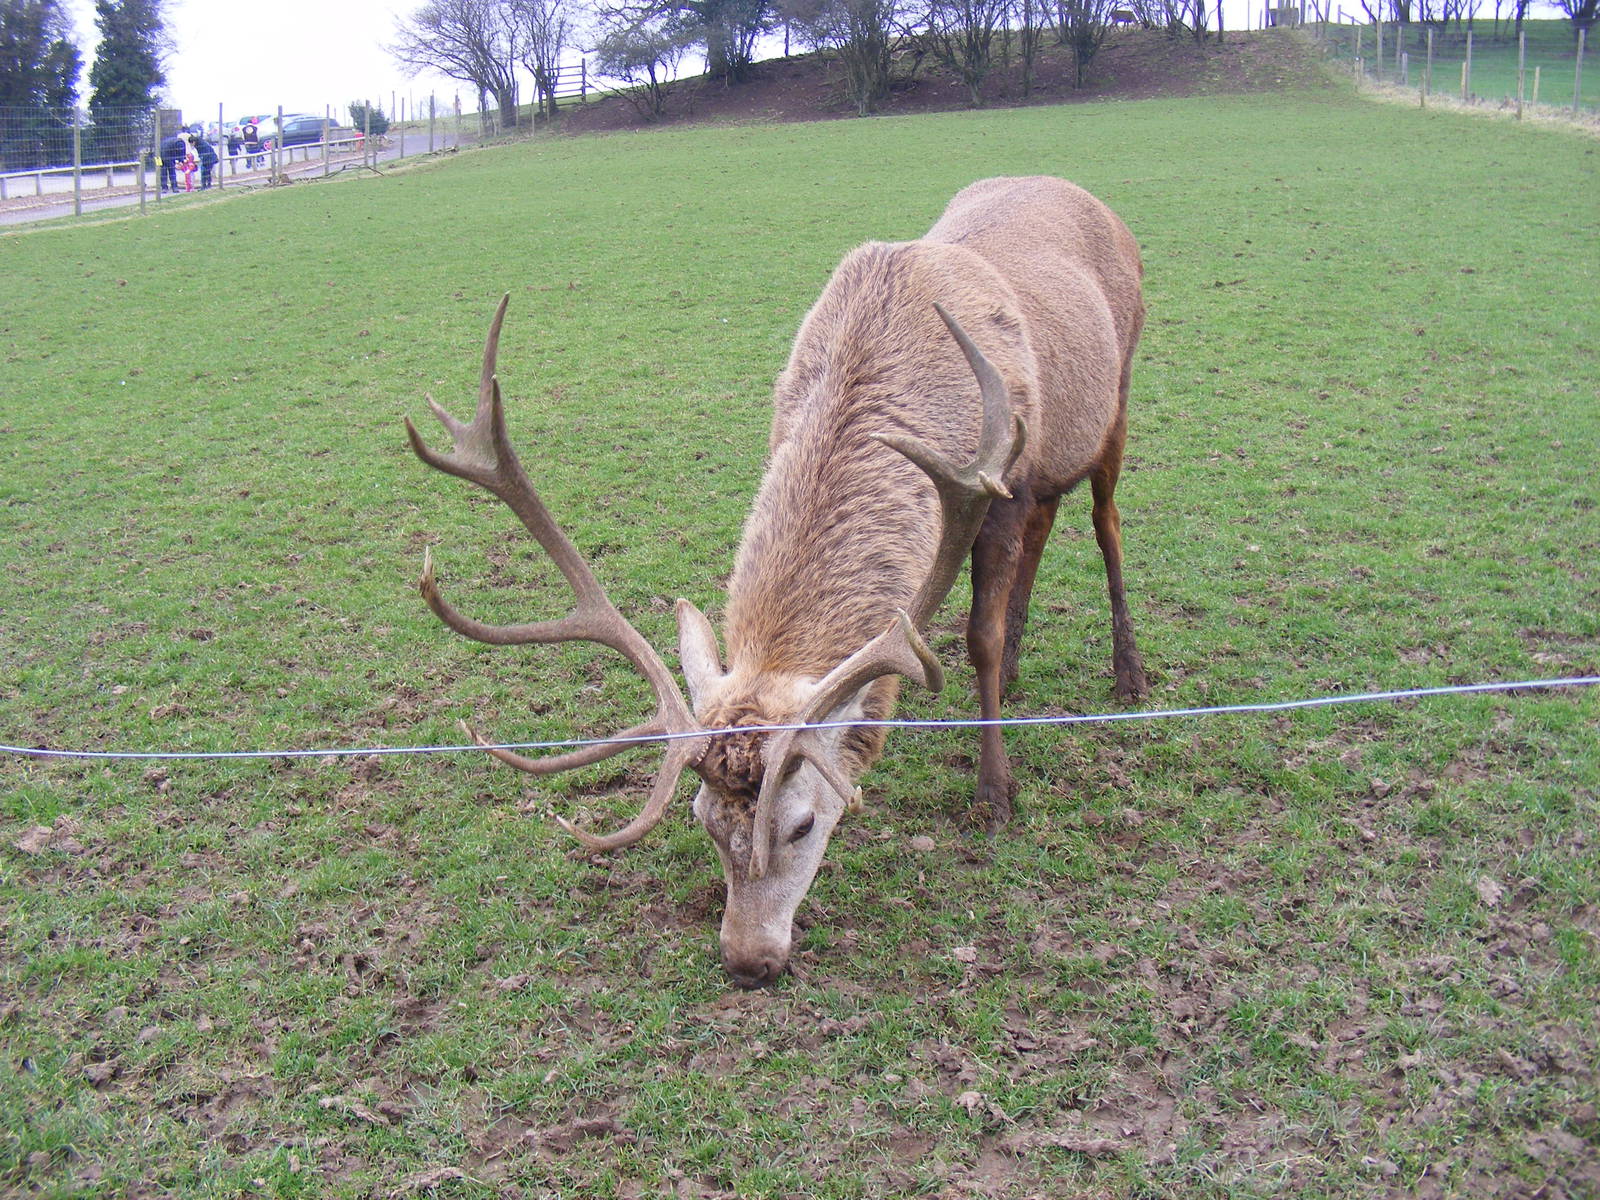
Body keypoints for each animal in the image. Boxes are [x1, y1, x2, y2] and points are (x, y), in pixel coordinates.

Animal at [406, 176, 1149, 989]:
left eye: (803, 822)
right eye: (703, 821)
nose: (747, 959)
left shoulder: (999, 485)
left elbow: (975, 638)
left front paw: (995, 793)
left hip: (1116, 396)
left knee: (1106, 521)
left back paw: (1128, 674)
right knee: (1052, 521)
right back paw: (1022, 670)